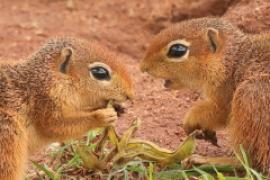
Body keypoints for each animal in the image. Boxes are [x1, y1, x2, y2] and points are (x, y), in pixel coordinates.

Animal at [0, 37, 133, 179]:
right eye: (100, 72)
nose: (130, 95)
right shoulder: (45, 104)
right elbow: (56, 126)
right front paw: (100, 117)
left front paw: (118, 108)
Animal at [140, 17, 270, 172]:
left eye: (177, 50)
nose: (143, 67)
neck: (233, 62)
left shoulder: (224, 99)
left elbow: (211, 112)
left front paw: (189, 123)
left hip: (250, 97)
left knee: (250, 162)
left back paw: (203, 161)